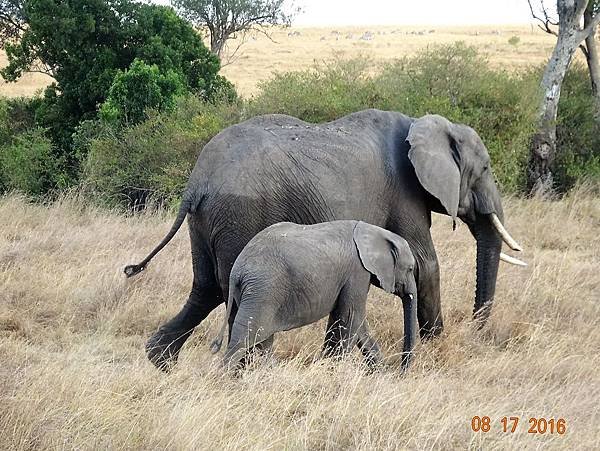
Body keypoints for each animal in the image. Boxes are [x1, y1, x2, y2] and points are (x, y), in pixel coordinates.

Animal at [211, 222, 418, 370]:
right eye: (410, 269)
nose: (401, 371)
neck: (375, 231)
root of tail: (237, 270)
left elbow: (350, 322)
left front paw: (381, 374)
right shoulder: (357, 272)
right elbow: (351, 317)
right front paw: (334, 369)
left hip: (256, 294)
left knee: (262, 340)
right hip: (263, 290)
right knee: (245, 337)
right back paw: (226, 377)